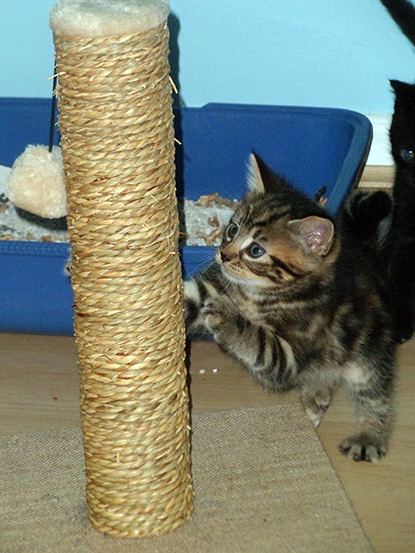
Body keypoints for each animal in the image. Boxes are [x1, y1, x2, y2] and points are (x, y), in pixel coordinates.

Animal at [186, 154, 396, 462]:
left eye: (256, 250)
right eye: (232, 229)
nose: (223, 255)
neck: (258, 293)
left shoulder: (290, 355)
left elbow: (257, 339)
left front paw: (226, 315)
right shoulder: (212, 286)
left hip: (367, 351)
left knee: (375, 393)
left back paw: (369, 435)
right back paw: (315, 399)